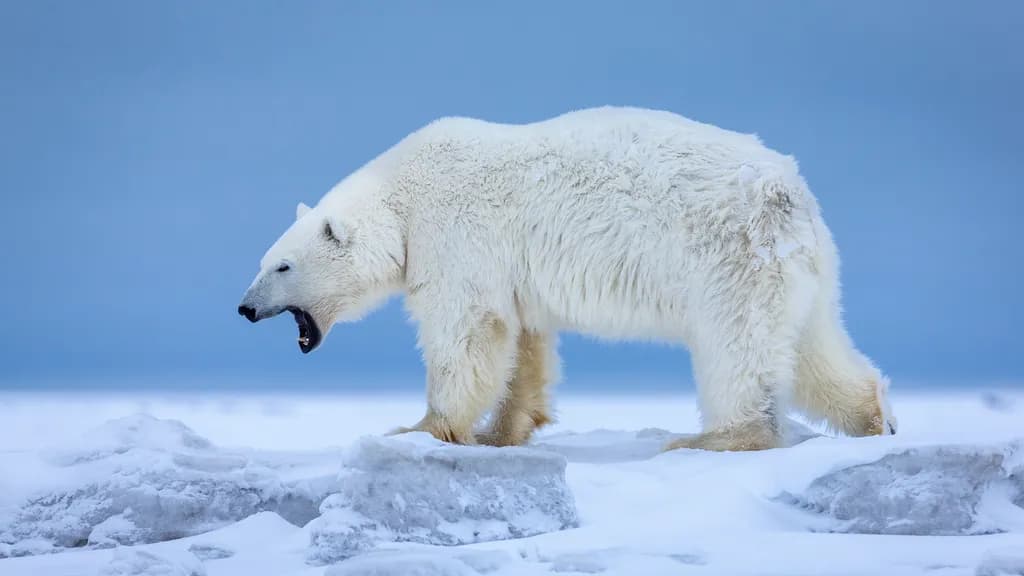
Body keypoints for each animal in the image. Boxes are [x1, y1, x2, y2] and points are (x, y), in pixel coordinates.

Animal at [238, 106, 896, 451]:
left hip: (728, 259)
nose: (244, 308)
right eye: (265, 260)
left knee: (733, 347)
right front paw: (505, 430)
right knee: (813, 345)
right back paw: (874, 418)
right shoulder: (511, 273)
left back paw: (710, 439)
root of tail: (789, 194)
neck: (404, 197)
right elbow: (523, 342)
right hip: (802, 271)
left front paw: (419, 428)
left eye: (282, 265)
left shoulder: (456, 237)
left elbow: (467, 332)